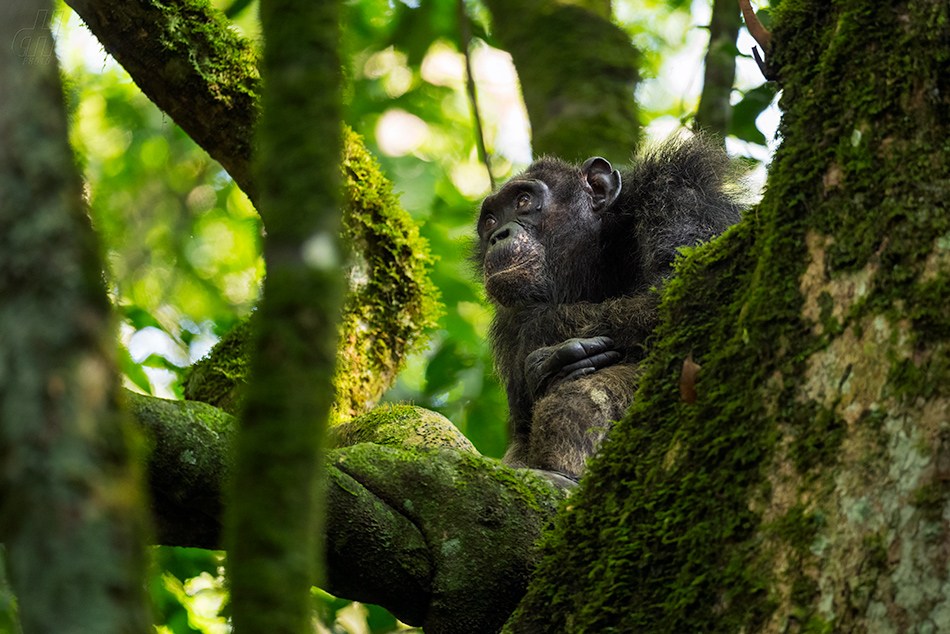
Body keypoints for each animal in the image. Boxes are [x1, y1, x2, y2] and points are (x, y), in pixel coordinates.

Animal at [474, 133, 744, 478]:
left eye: (523, 201)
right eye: (490, 219)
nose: (498, 234)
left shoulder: (680, 193)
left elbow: (688, 289)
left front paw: (539, 347)